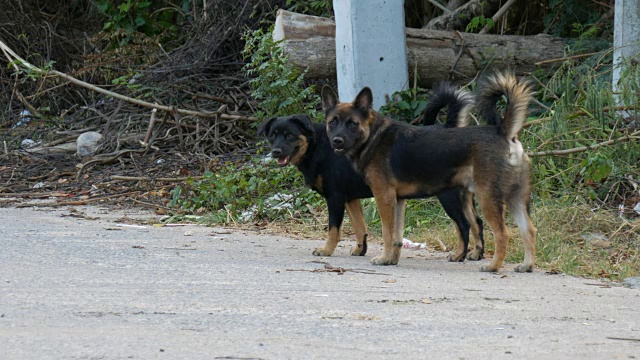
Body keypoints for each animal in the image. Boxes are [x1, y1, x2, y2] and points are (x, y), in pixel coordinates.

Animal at [258, 82, 482, 258]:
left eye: (289, 136)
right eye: (272, 136)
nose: (276, 151)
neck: (318, 146)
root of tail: (448, 126)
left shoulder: (335, 198)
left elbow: (333, 229)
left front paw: (327, 250)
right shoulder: (350, 199)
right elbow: (360, 227)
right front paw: (360, 249)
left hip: (448, 196)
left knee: (463, 225)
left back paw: (459, 255)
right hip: (464, 197)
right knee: (477, 222)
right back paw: (476, 254)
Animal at [322, 71, 536, 272]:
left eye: (352, 123)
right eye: (333, 122)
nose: (336, 141)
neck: (373, 136)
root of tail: (504, 133)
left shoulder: (384, 198)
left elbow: (387, 232)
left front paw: (383, 258)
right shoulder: (398, 201)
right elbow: (397, 236)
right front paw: (391, 259)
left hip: (488, 199)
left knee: (502, 234)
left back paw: (493, 266)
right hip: (516, 200)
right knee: (529, 230)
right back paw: (527, 265)